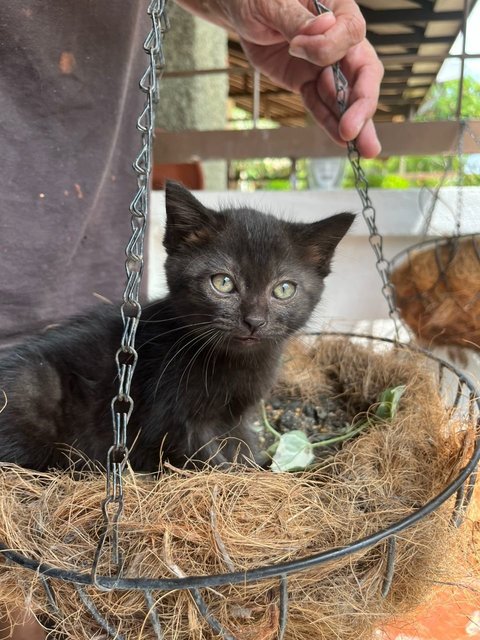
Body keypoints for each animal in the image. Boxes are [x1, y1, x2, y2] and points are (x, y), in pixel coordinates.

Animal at [0, 182, 352, 472]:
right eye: (223, 282)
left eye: (284, 289)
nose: (254, 321)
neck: (234, 365)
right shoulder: (174, 420)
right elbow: (208, 459)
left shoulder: (236, 417)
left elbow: (242, 445)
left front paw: (256, 468)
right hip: (32, 385)